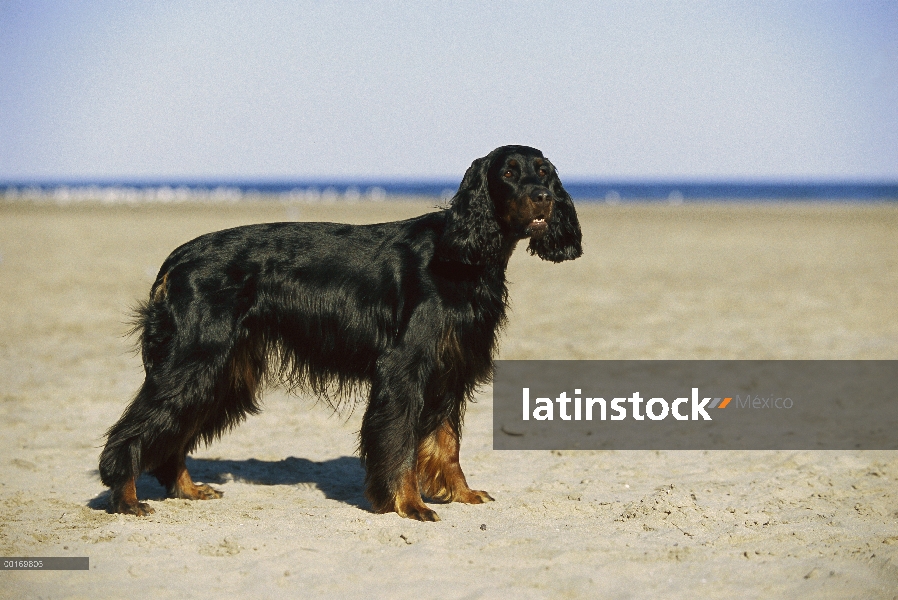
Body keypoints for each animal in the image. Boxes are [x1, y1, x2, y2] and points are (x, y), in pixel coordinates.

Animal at [100, 145, 580, 520]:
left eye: (544, 172)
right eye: (508, 173)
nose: (543, 198)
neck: (463, 256)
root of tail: (176, 260)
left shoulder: (449, 370)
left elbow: (447, 443)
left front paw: (461, 493)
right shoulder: (404, 368)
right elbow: (400, 442)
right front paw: (408, 504)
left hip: (221, 371)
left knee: (173, 435)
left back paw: (187, 488)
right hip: (195, 360)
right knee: (134, 429)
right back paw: (126, 499)